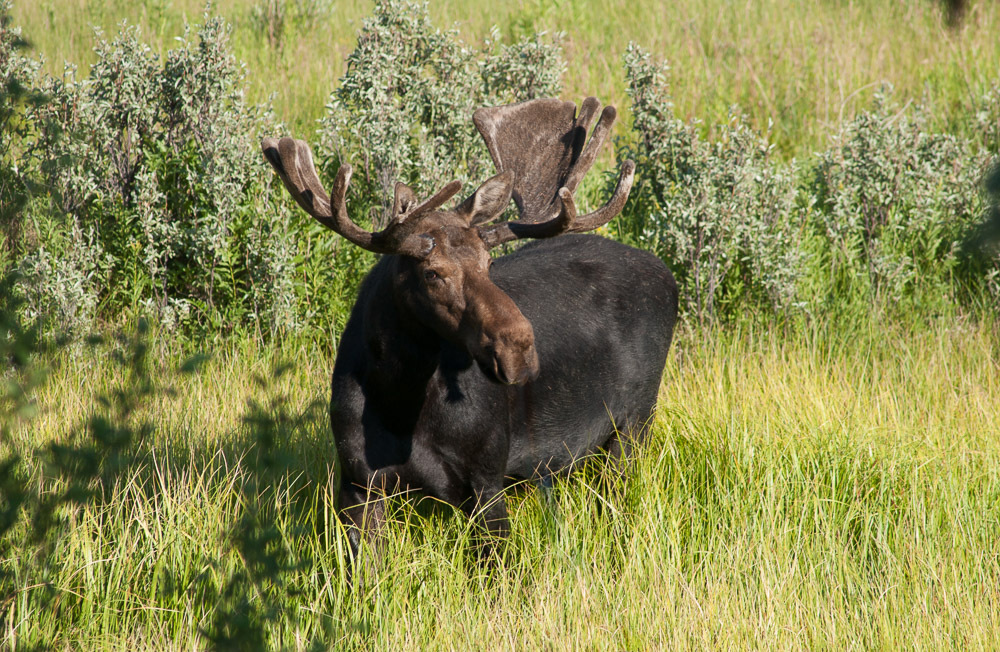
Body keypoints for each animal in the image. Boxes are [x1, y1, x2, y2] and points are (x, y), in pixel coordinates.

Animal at [262, 97, 678, 560]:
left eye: (488, 262)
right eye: (432, 273)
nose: (519, 349)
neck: (399, 401)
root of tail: (668, 274)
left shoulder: (487, 478)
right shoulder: (356, 482)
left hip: (635, 421)